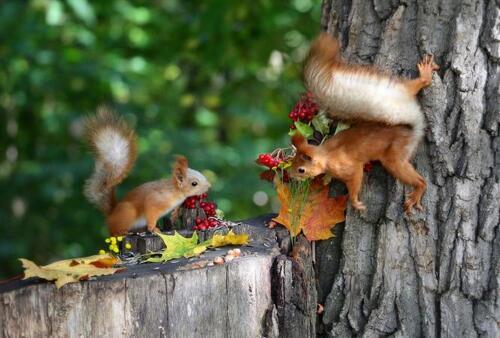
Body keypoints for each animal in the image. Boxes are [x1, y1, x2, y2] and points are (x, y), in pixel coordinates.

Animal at [82, 107, 211, 235]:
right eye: (194, 183)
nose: (209, 186)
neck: (175, 192)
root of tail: (111, 214)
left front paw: (174, 214)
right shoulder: (156, 199)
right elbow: (151, 211)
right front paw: (153, 228)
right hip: (128, 212)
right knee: (114, 231)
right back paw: (122, 232)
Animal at [292, 33, 440, 214]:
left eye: (301, 170)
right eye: (292, 161)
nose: (291, 176)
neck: (326, 153)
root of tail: (413, 122)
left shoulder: (348, 166)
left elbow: (355, 179)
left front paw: (355, 201)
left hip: (395, 157)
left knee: (419, 180)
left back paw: (416, 193)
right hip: (404, 89)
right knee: (416, 85)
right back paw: (425, 75)